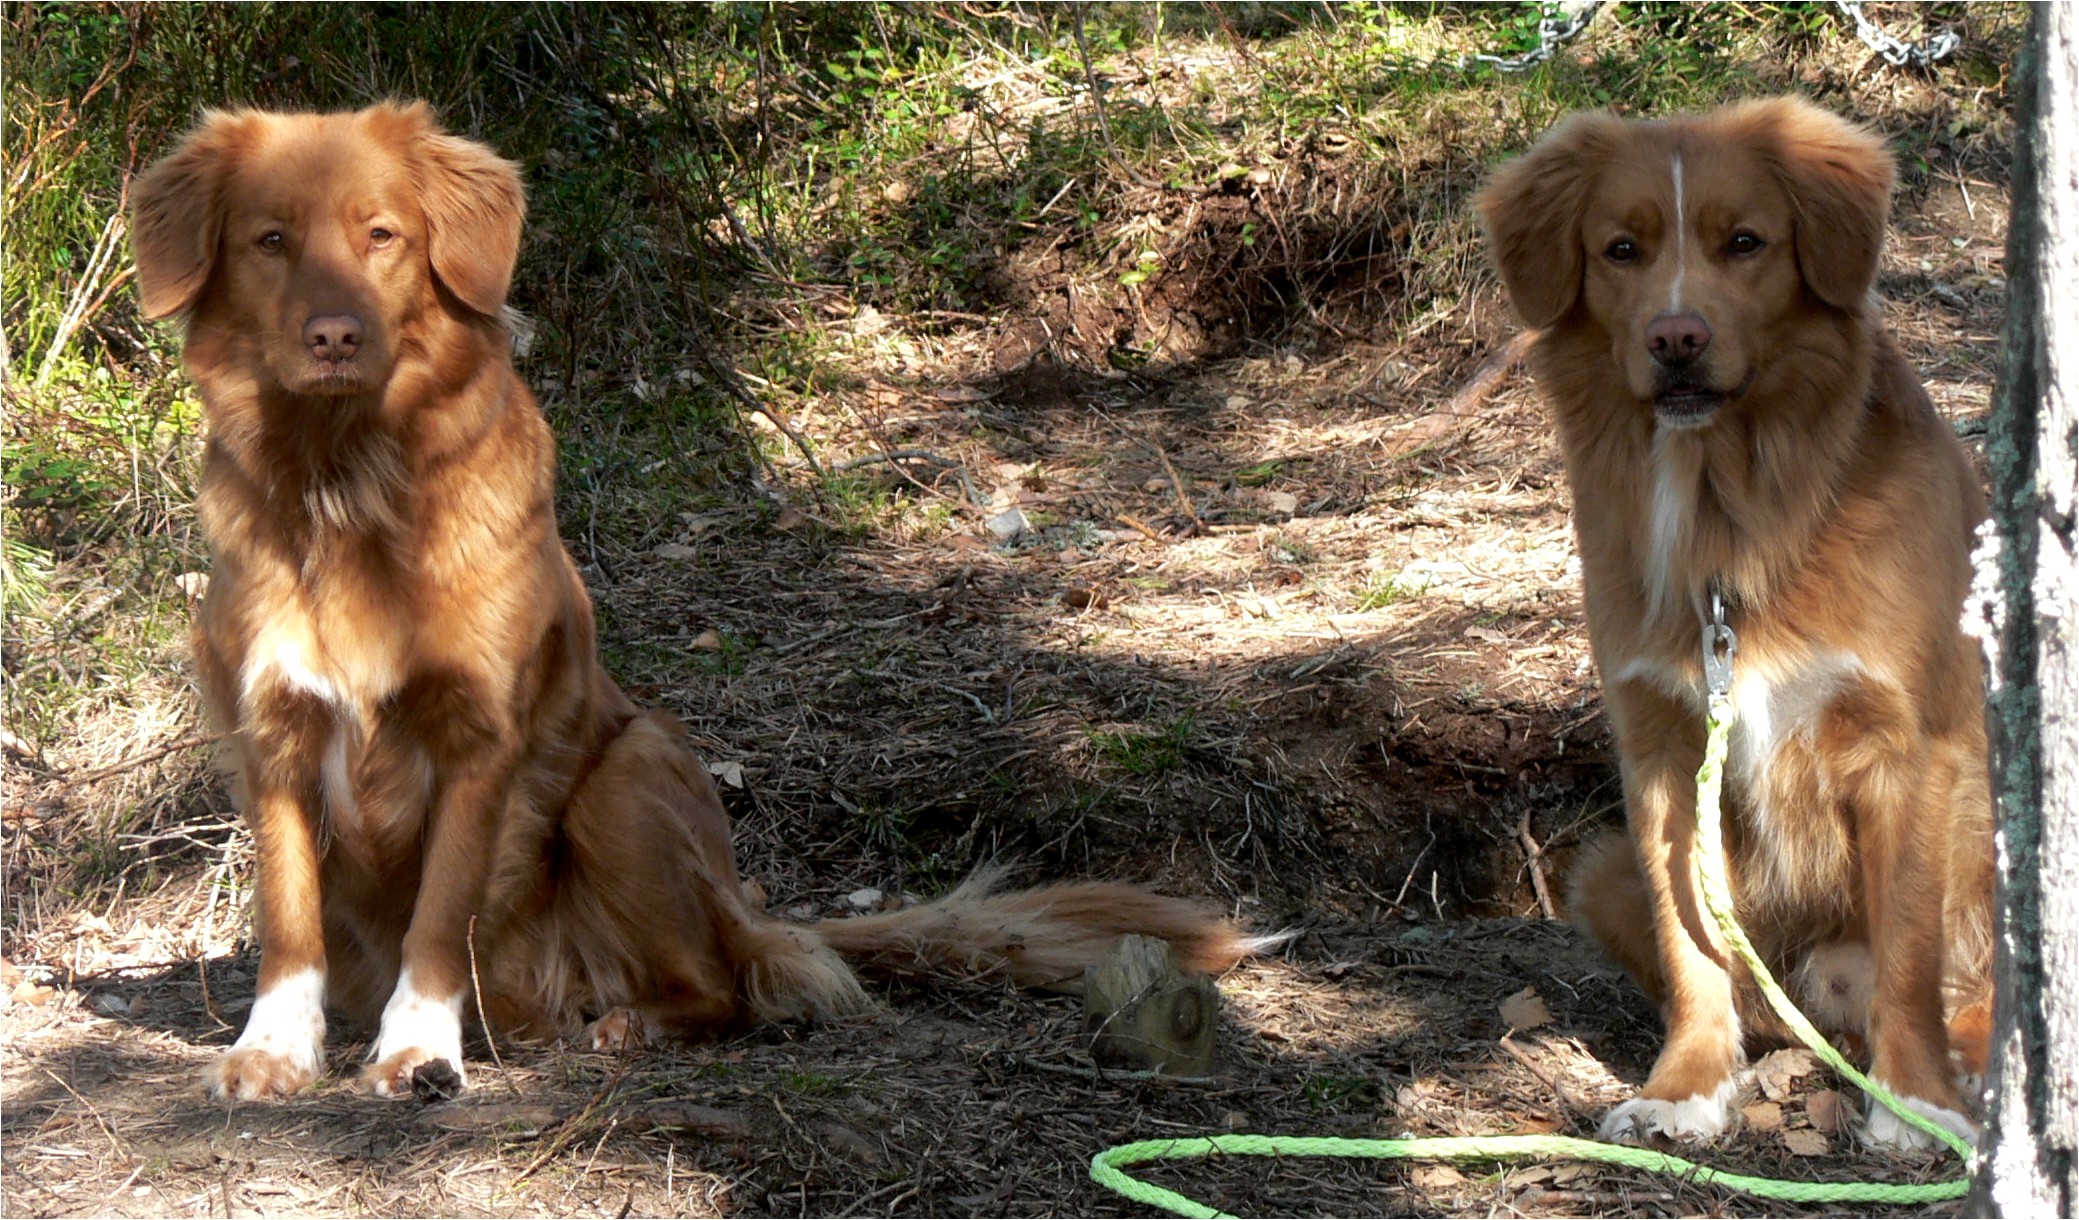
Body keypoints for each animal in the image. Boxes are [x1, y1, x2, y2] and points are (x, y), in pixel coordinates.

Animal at [138, 100, 1255, 1105]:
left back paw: (625, 1023)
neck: (348, 481)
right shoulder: (272, 736)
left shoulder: (479, 744)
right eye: (271, 241)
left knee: (727, 988)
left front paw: (417, 1052)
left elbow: (438, 916)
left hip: (629, 770)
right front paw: (274, 1051)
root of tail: (749, 910)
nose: (334, 336)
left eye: (382, 235)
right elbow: (288, 915)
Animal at [1480, 97, 1995, 1155]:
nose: (1675, 337)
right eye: (1621, 249)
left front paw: (1914, 1100)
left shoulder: (1905, 750)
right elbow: (1692, 946)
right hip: (1597, 871)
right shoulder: (1667, 751)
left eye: (1745, 243)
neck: (1732, 511)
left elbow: (1911, 948)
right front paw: (1686, 1086)